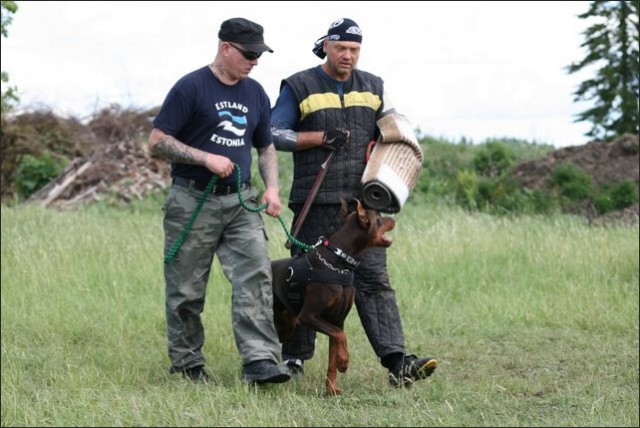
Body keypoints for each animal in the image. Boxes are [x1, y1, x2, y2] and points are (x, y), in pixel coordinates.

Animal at [270, 199, 396, 396]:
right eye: (379, 218)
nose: (394, 219)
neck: (339, 263)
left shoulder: (337, 320)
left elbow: (333, 355)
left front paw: (331, 389)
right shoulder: (308, 316)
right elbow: (341, 335)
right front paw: (344, 361)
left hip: (286, 324)